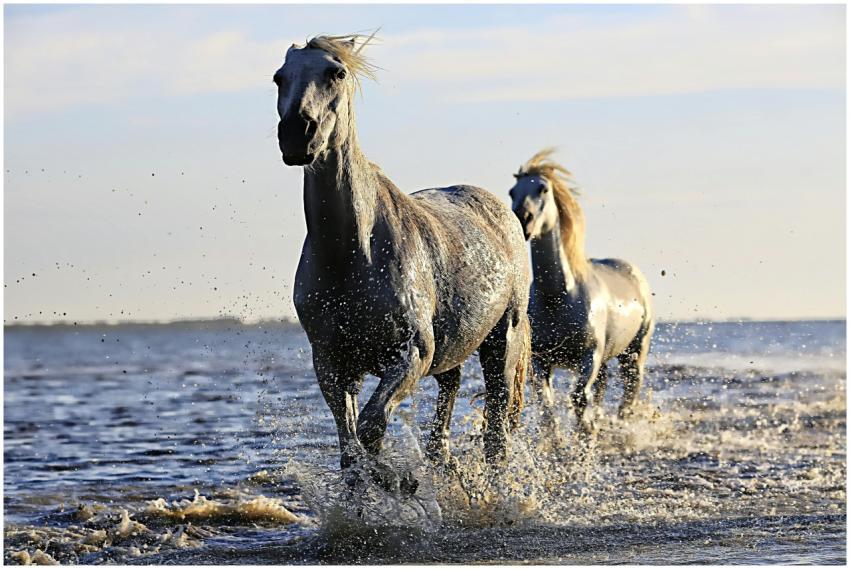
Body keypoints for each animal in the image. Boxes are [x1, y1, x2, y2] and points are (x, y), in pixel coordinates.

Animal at [274, 34, 531, 494]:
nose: (297, 134)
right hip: (453, 351)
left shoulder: (410, 354)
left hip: (503, 342)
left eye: (336, 72)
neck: (352, 255)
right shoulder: (332, 364)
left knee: (497, 433)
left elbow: (372, 428)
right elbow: (350, 447)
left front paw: (395, 481)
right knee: (448, 401)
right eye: (279, 77)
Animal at [508, 148, 654, 434]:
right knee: (603, 388)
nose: (523, 219)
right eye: (512, 192)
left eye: (543, 189)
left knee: (629, 390)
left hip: (634, 352)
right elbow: (547, 406)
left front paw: (584, 436)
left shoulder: (589, 357)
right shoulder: (541, 361)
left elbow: (578, 399)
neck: (559, 297)